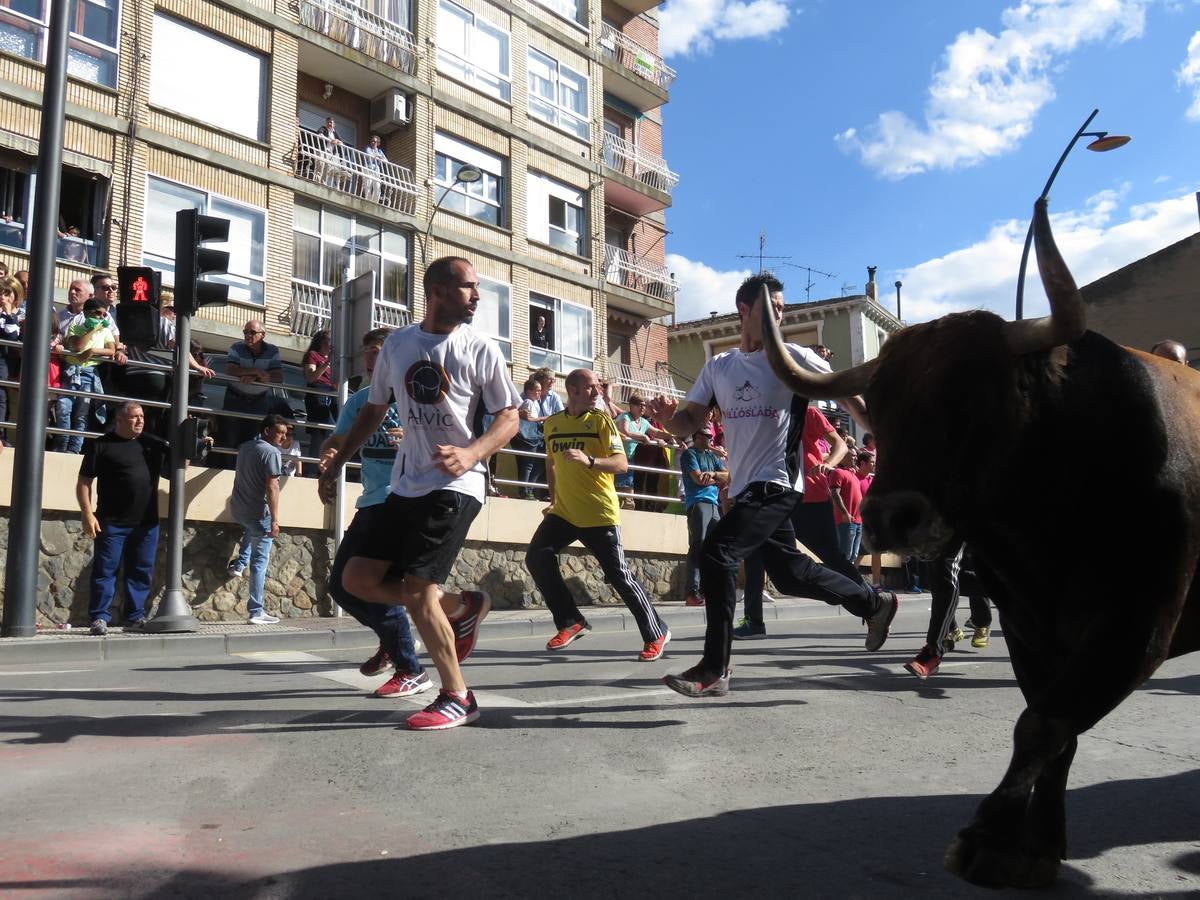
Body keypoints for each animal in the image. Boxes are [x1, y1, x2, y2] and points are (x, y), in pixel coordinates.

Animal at [758, 196, 1200, 888]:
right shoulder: (1030, 627)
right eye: (878, 405)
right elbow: (1054, 727)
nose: (890, 517)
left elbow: (1043, 723)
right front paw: (1036, 845)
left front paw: (989, 834)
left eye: (971, 395)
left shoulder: (1139, 625)